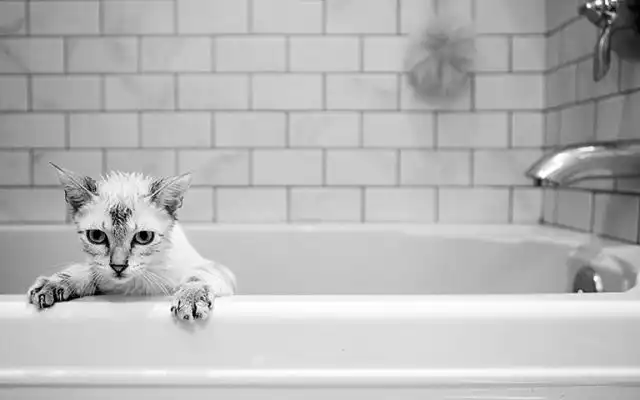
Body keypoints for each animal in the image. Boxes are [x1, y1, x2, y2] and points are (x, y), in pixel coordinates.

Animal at [27, 163, 236, 321]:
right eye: (96, 236)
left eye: (144, 237)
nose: (118, 266)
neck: (135, 287)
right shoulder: (102, 276)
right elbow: (87, 271)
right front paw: (53, 284)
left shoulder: (218, 271)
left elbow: (197, 277)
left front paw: (190, 298)